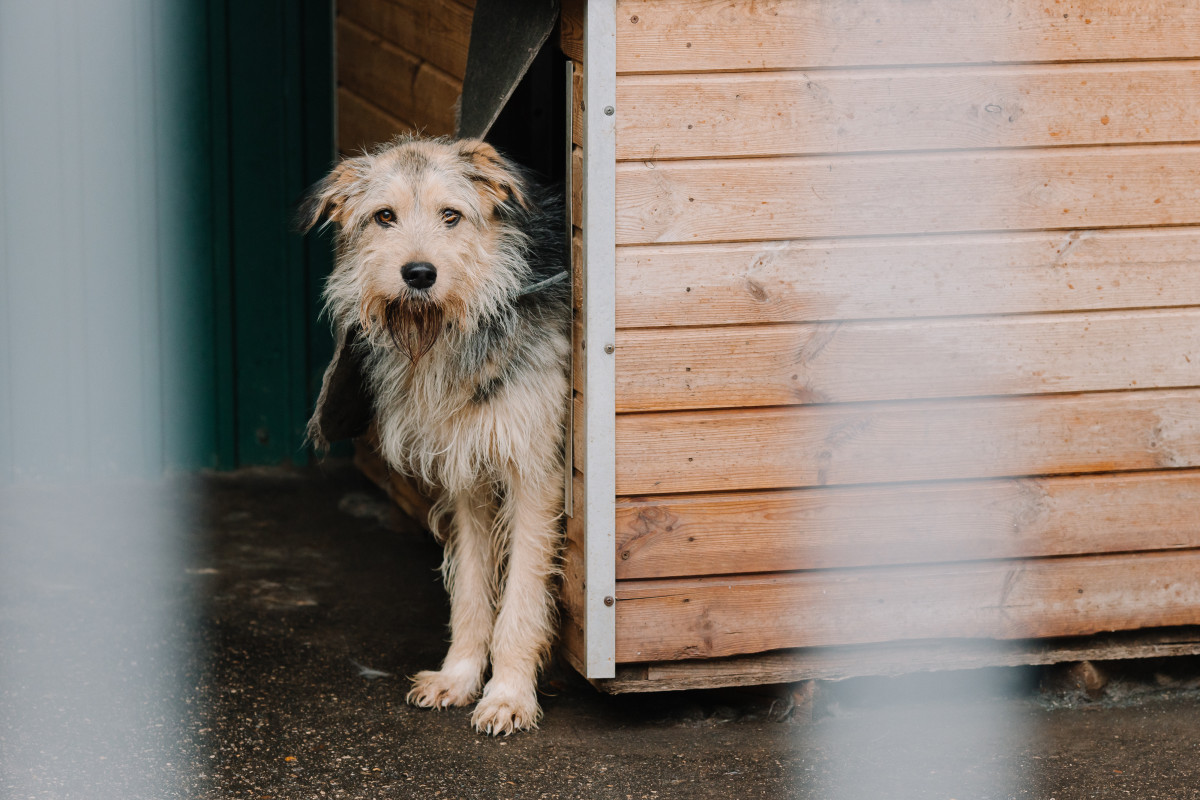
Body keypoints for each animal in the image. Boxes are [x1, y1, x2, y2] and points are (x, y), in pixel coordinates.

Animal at [302, 134, 568, 734]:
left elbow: (520, 597)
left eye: (452, 215)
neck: (451, 332)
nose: (418, 273)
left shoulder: (535, 474)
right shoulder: (467, 475)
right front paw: (461, 676)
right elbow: (470, 587)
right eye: (384, 216)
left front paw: (508, 695)